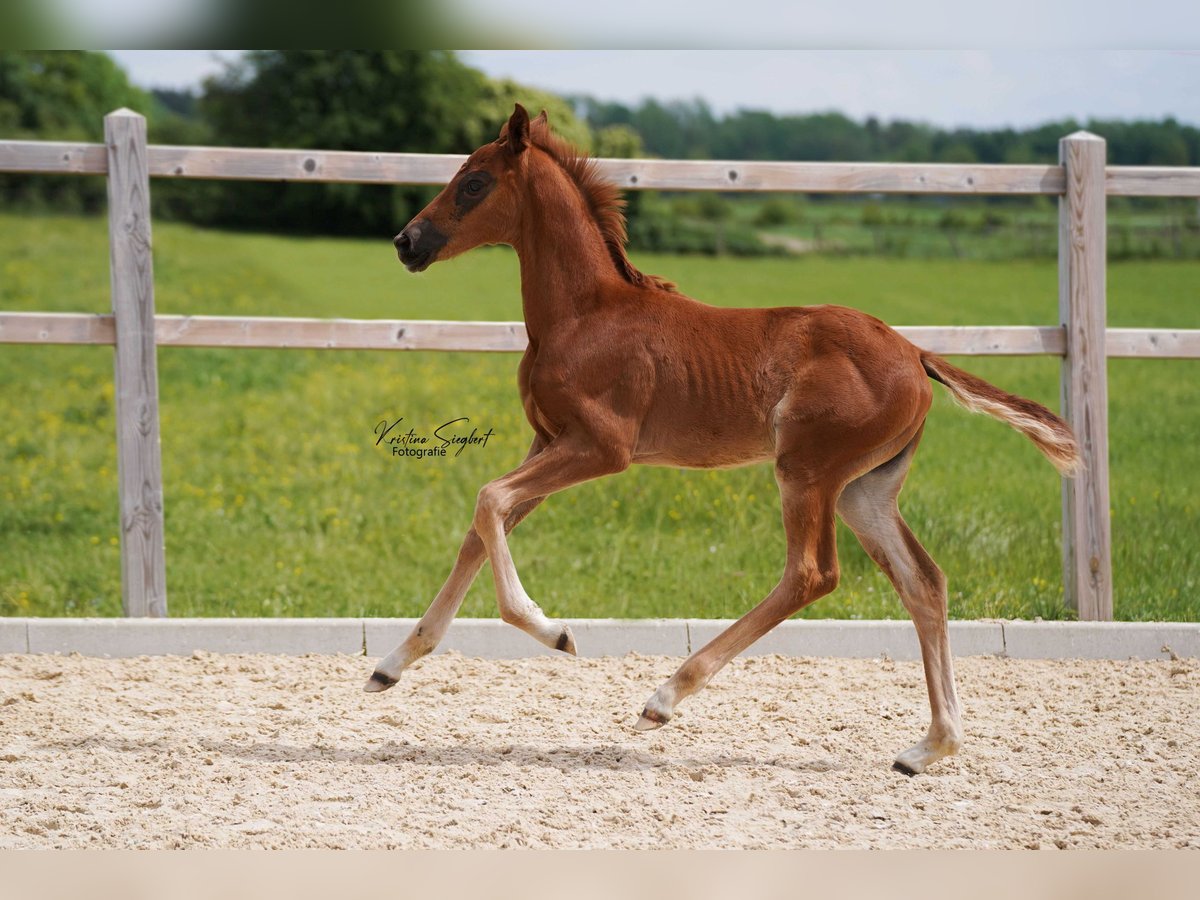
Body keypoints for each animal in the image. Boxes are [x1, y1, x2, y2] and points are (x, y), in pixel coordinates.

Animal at [364, 109, 1080, 777]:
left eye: (473, 182)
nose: (405, 241)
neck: (585, 314)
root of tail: (916, 353)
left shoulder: (600, 448)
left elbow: (487, 502)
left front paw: (554, 631)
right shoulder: (547, 443)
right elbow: (480, 528)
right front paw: (391, 665)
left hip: (807, 470)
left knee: (813, 573)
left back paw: (665, 697)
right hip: (865, 490)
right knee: (923, 582)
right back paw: (930, 746)